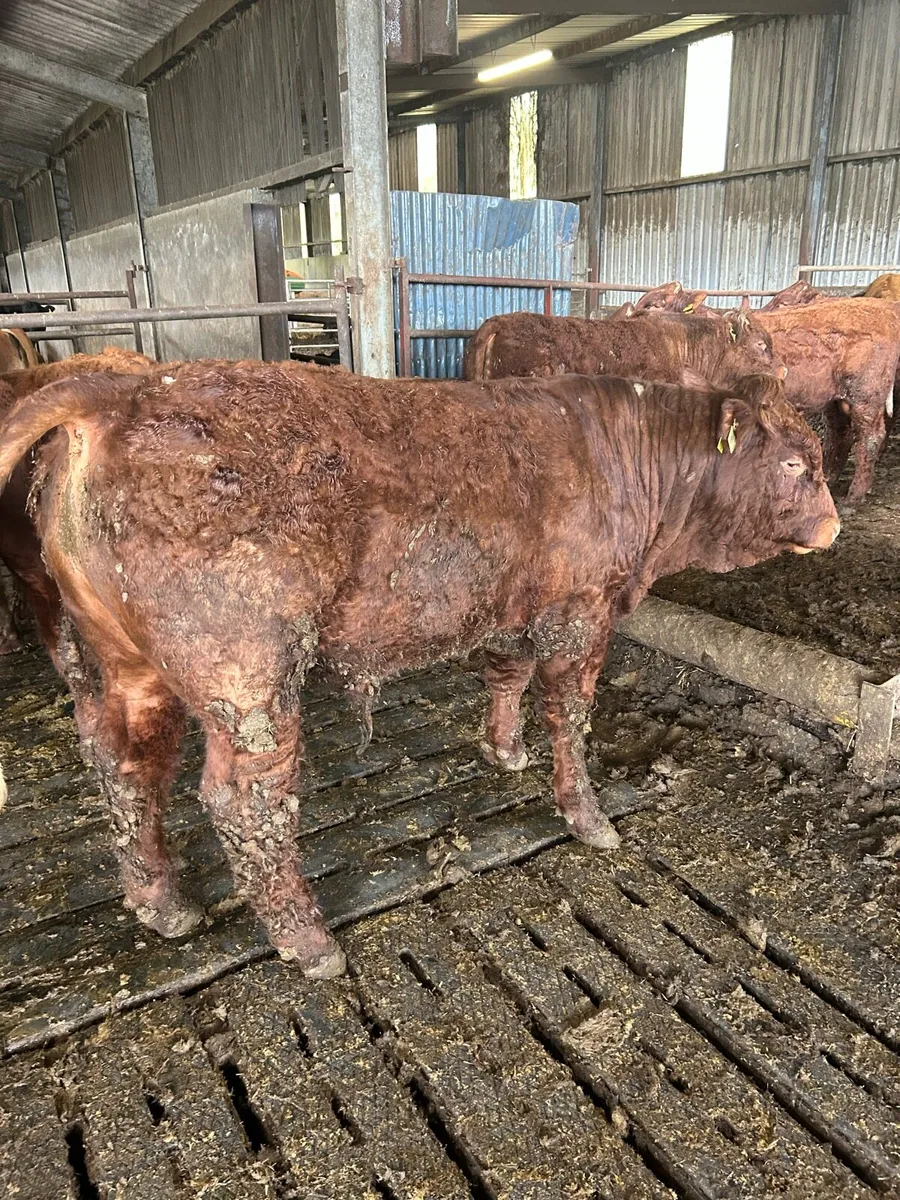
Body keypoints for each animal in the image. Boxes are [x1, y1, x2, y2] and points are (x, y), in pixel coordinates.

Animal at [0, 361, 839, 977]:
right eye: (798, 463)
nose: (834, 525)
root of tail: (123, 390)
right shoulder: (580, 613)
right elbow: (570, 715)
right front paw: (588, 816)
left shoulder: (512, 605)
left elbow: (506, 675)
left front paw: (504, 750)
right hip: (247, 673)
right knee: (245, 801)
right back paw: (309, 942)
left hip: (124, 663)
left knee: (124, 764)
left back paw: (160, 902)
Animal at [757, 300, 900, 507]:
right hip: (836, 400)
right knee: (840, 433)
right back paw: (829, 479)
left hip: (867, 394)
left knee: (870, 437)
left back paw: (853, 497)